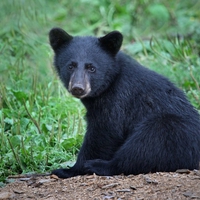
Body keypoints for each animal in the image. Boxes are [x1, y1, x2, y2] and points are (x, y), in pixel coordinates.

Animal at [48, 27, 200, 178]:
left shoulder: (118, 100)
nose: (78, 88)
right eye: (70, 66)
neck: (111, 81)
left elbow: (103, 133)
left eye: (91, 68)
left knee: (145, 144)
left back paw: (99, 166)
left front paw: (69, 170)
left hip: (172, 129)